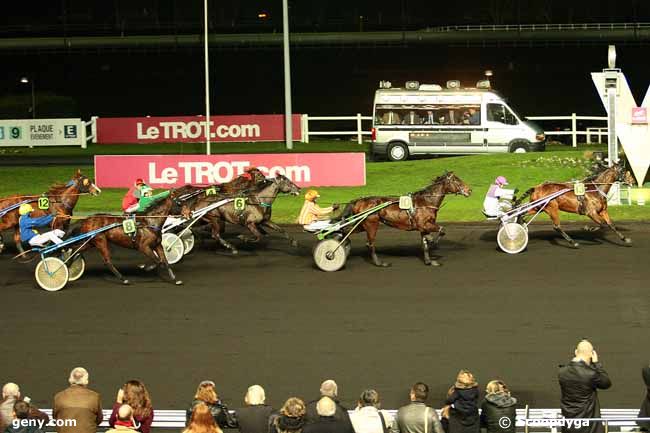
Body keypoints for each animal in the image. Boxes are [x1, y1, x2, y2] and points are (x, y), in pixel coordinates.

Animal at [340, 171, 470, 266]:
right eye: (456, 180)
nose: (469, 190)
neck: (426, 201)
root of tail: (358, 201)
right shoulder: (423, 225)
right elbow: (441, 230)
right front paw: (432, 240)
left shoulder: (424, 226)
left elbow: (425, 244)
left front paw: (429, 261)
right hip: (372, 224)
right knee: (369, 244)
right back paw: (379, 263)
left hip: (362, 225)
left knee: (345, 231)